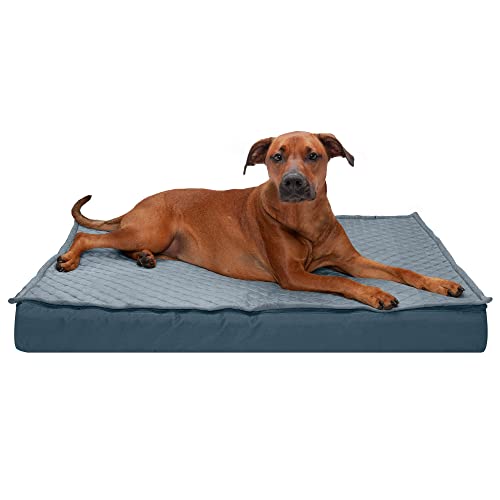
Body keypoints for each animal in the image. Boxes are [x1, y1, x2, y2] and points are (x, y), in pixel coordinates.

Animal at [56, 131, 464, 309]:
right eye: (276, 157)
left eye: (313, 155)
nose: (293, 182)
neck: (304, 220)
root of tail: (135, 206)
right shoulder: (293, 275)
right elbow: (341, 283)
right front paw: (375, 293)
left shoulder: (351, 260)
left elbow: (401, 270)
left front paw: (441, 284)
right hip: (151, 229)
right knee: (89, 239)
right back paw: (70, 259)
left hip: (153, 237)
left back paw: (143, 258)